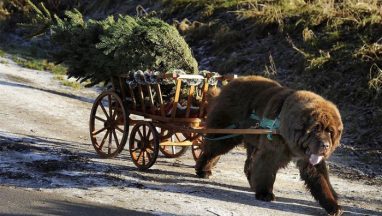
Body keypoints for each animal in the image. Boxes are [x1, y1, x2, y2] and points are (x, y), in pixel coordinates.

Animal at [197, 75, 344, 215]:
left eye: (330, 132)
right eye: (315, 129)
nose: (325, 145)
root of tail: (229, 84)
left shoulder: (308, 159)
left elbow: (321, 181)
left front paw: (333, 205)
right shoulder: (271, 152)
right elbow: (266, 170)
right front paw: (265, 193)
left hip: (253, 141)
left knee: (249, 163)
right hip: (226, 133)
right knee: (210, 150)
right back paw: (203, 170)